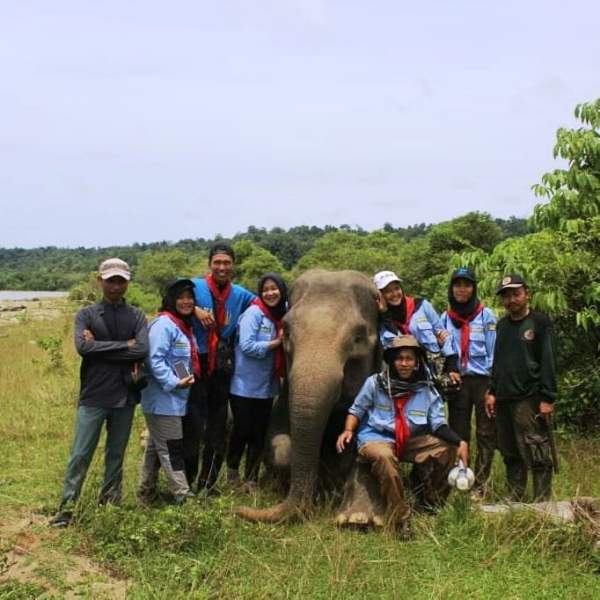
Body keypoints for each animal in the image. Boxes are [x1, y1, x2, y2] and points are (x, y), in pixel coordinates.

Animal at [237, 270, 382, 524]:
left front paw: (355, 516)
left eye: (359, 337)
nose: (239, 510)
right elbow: (280, 449)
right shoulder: (284, 397)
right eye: (286, 330)